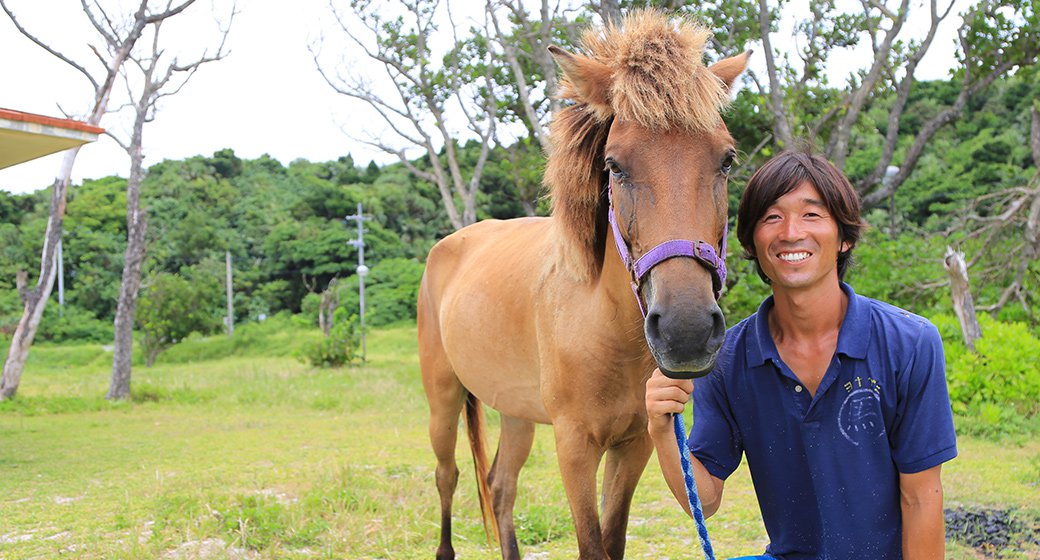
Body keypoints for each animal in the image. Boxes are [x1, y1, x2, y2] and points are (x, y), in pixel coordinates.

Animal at [416, 13, 748, 557]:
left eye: (726, 160)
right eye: (614, 165)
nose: (687, 332)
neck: (603, 324)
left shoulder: (634, 445)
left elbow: (613, 540)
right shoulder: (574, 446)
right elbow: (591, 544)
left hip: (516, 412)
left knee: (501, 486)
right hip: (442, 401)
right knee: (449, 477)